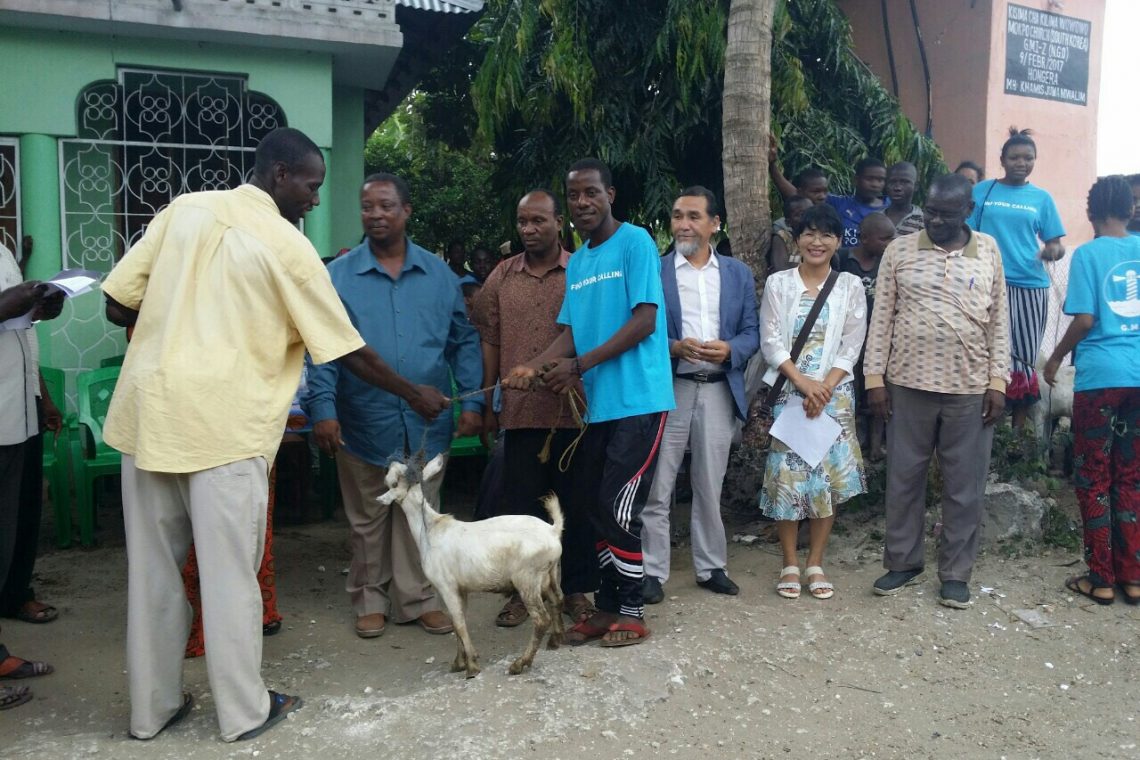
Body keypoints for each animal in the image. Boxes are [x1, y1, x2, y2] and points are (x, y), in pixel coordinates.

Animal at [379, 454, 565, 678]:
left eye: (393, 482)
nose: (388, 464)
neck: (430, 529)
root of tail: (552, 531)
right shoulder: (462, 589)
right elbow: (458, 620)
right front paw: (459, 662)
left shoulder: (446, 586)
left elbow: (459, 624)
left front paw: (472, 666)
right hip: (550, 574)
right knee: (558, 600)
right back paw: (555, 641)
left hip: (527, 579)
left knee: (541, 619)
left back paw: (520, 663)